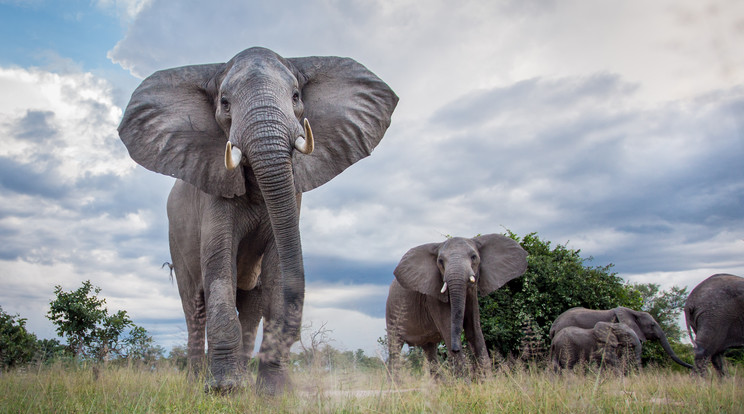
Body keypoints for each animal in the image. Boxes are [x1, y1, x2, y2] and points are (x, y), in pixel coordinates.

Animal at [117, 47, 396, 392]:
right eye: (224, 102)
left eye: (295, 96)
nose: (296, 336)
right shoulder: (214, 187)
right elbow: (219, 262)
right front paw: (222, 390)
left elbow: (277, 267)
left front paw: (273, 393)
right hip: (176, 239)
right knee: (194, 305)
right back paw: (197, 384)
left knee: (251, 306)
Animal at [384, 234, 528, 376]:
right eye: (440, 261)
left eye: (474, 257)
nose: (456, 349)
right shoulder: (433, 297)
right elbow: (448, 330)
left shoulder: (472, 294)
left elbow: (475, 331)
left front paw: (488, 380)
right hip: (392, 313)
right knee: (395, 347)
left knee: (430, 351)